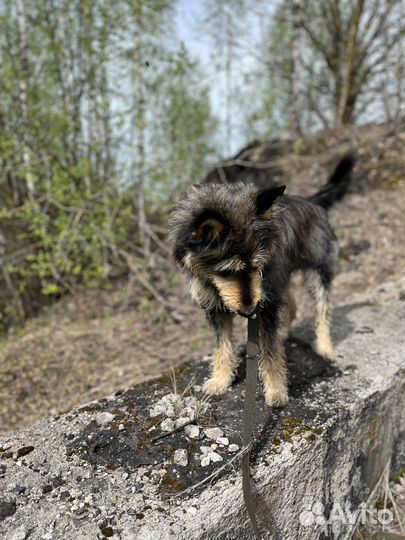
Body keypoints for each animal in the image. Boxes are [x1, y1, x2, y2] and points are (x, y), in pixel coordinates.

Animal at [167, 155, 354, 404]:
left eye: (256, 265)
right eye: (228, 271)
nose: (248, 311)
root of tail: (311, 202)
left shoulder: (265, 302)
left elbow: (270, 352)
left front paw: (276, 390)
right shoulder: (217, 308)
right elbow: (223, 346)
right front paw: (220, 380)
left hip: (317, 271)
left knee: (322, 309)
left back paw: (324, 347)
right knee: (291, 305)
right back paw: (284, 332)